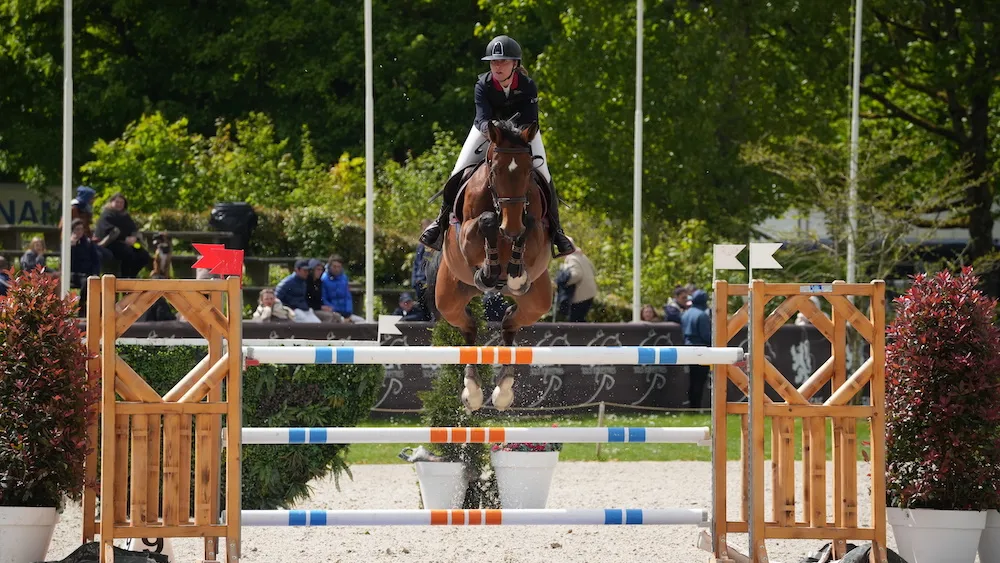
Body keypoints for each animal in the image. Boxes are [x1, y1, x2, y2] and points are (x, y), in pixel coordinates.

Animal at [433, 119, 554, 412]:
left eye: (528, 172)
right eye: (496, 170)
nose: (509, 228)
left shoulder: (536, 232)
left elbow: (529, 224)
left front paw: (514, 275)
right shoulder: (466, 234)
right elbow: (486, 220)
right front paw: (489, 272)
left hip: (537, 303)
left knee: (509, 322)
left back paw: (503, 391)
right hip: (448, 299)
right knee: (469, 326)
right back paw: (473, 391)